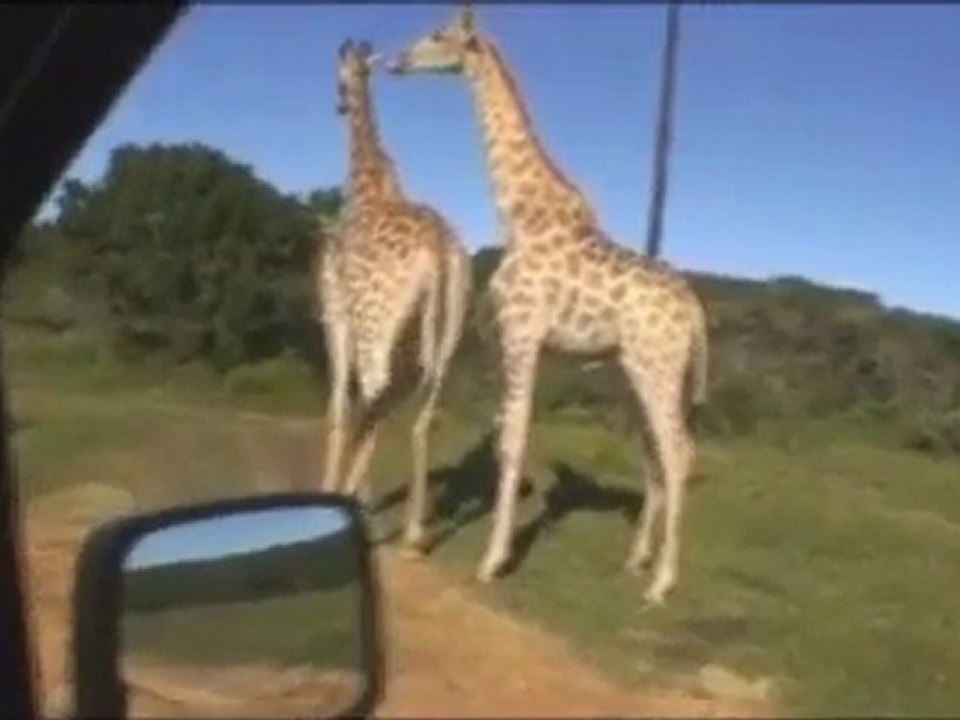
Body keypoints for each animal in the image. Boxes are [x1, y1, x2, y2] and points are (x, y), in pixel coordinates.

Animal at [319, 38, 472, 553]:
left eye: (339, 75)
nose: (338, 103)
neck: (365, 186)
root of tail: (441, 251)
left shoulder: (336, 313)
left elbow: (339, 404)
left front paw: (333, 491)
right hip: (447, 338)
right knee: (417, 417)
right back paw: (413, 533)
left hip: (377, 328)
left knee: (369, 398)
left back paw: (349, 503)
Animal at [387, 8, 709, 604]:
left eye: (439, 34)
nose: (396, 61)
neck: (519, 215)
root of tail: (696, 312)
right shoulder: (510, 342)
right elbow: (502, 437)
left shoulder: (522, 335)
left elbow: (514, 440)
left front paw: (492, 561)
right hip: (629, 369)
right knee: (659, 453)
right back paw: (637, 560)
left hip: (656, 367)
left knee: (678, 453)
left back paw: (661, 584)